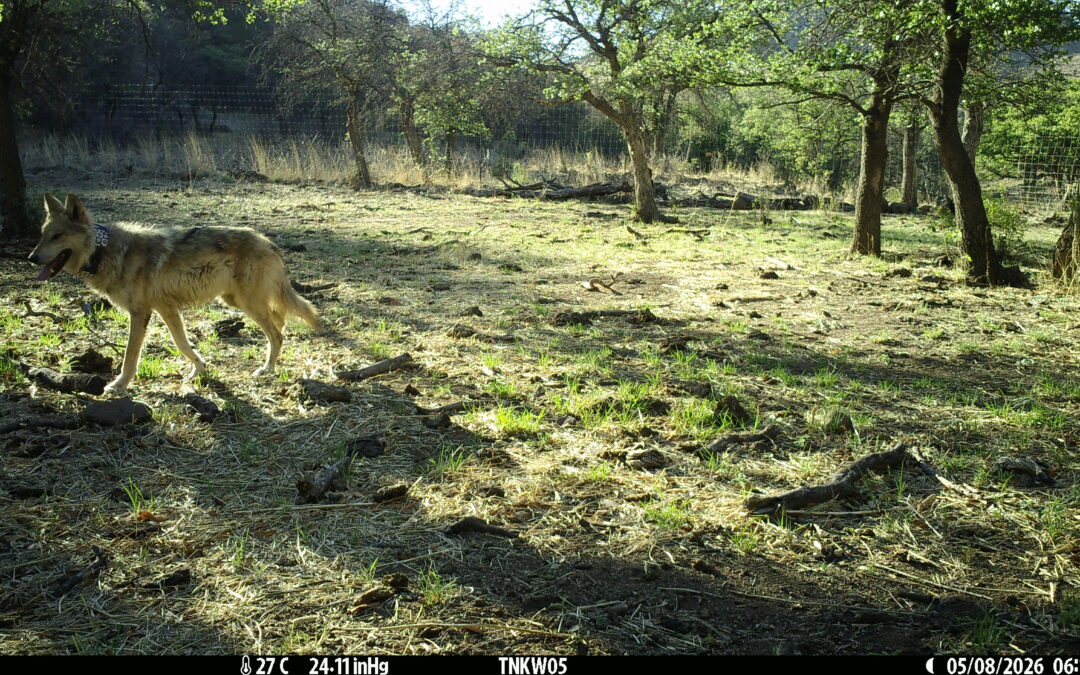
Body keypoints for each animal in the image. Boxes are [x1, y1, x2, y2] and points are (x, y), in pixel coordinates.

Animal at [29, 193, 320, 395]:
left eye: (57, 236)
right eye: (42, 235)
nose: (31, 258)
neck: (103, 253)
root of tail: (268, 242)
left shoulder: (140, 313)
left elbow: (130, 356)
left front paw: (119, 385)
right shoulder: (166, 309)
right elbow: (183, 344)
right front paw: (199, 369)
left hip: (246, 303)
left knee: (277, 333)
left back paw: (267, 369)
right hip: (236, 300)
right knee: (279, 320)